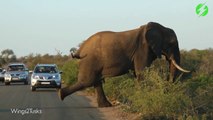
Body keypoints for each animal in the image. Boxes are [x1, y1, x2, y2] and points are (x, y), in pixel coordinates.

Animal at [58, 22, 190, 107]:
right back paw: (60, 95)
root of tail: (80, 49)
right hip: (90, 60)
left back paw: (106, 105)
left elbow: (138, 74)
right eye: (172, 43)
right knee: (87, 81)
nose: (166, 90)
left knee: (95, 81)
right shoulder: (142, 49)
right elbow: (142, 73)